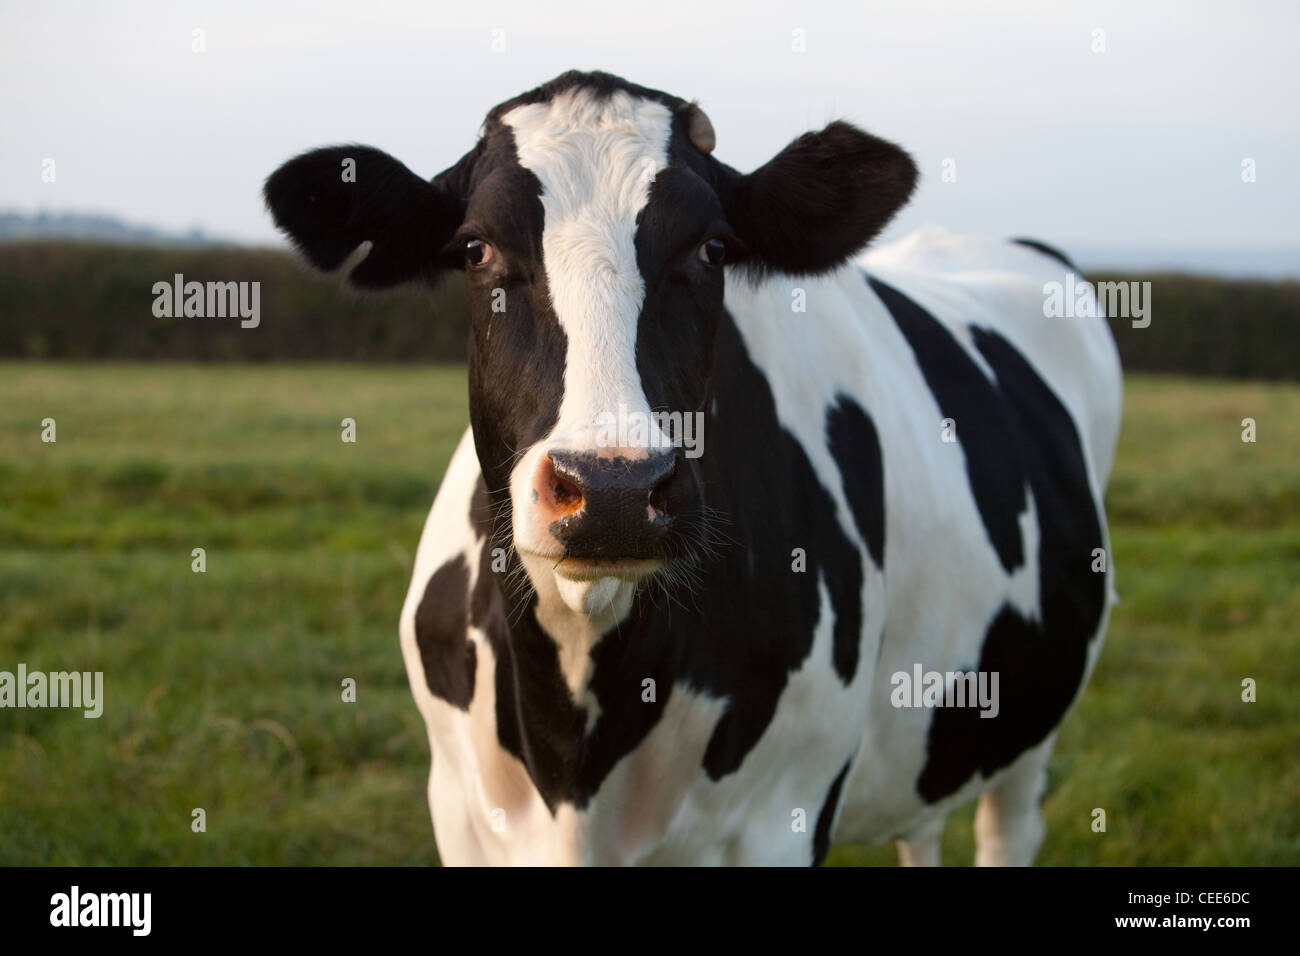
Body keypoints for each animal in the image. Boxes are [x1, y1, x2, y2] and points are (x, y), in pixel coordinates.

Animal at [266, 69, 1128, 868]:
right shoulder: (462, 813)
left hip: (1030, 726)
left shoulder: (783, 819)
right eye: (476, 248)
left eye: (712, 247)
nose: (612, 489)